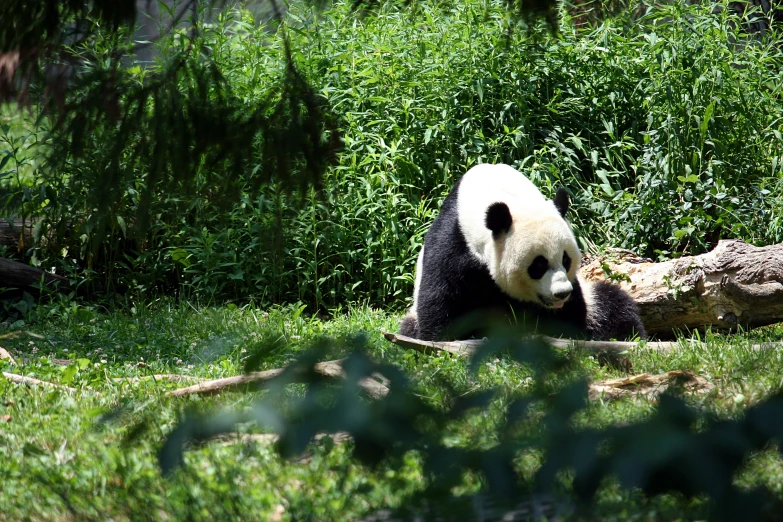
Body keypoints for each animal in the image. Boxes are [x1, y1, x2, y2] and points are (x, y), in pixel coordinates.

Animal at [402, 164, 648, 342]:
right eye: (538, 265)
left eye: (566, 259)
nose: (561, 293)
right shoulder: (455, 243)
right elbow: (442, 302)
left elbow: (573, 317)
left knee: (613, 304)